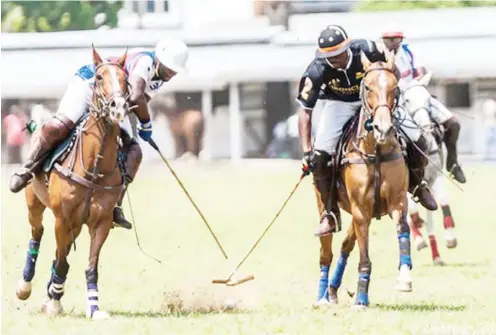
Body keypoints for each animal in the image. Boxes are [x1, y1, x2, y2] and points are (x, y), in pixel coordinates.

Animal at [16, 47, 130, 320]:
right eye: (99, 77)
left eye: (125, 80)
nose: (118, 106)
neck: (94, 168)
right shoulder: (62, 219)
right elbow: (62, 261)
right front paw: (54, 303)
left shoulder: (100, 222)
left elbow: (90, 266)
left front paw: (94, 307)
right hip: (34, 203)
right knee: (37, 233)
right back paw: (25, 286)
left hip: (77, 224)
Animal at [316, 53, 412, 310]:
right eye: (367, 86)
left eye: (395, 87)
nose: (383, 128)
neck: (375, 151)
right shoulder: (361, 210)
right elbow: (365, 258)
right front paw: (360, 299)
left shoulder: (397, 202)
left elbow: (403, 230)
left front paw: (405, 278)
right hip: (327, 205)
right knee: (326, 251)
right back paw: (322, 297)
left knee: (345, 245)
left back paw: (333, 290)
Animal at [400, 73, 458, 266]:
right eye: (407, 100)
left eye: (428, 100)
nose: (427, 126)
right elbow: (411, 209)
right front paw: (418, 237)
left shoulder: (434, 178)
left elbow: (443, 201)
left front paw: (450, 238)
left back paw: (436, 254)